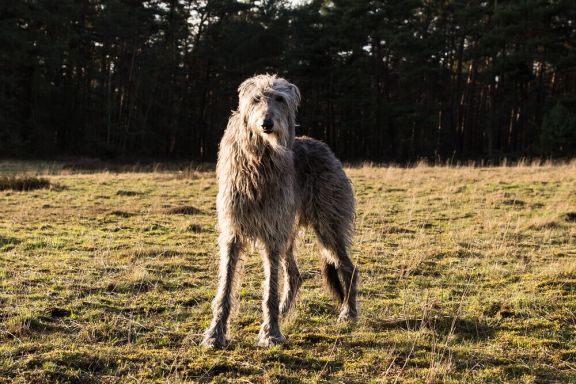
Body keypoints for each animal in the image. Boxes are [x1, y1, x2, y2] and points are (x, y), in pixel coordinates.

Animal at [200, 73, 358, 348]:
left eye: (280, 99)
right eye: (256, 99)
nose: (267, 124)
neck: (259, 160)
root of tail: (324, 147)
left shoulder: (272, 231)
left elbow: (270, 290)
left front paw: (271, 332)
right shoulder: (233, 231)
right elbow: (225, 287)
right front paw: (216, 333)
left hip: (327, 223)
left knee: (347, 267)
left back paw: (348, 312)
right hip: (291, 228)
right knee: (294, 275)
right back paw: (285, 311)